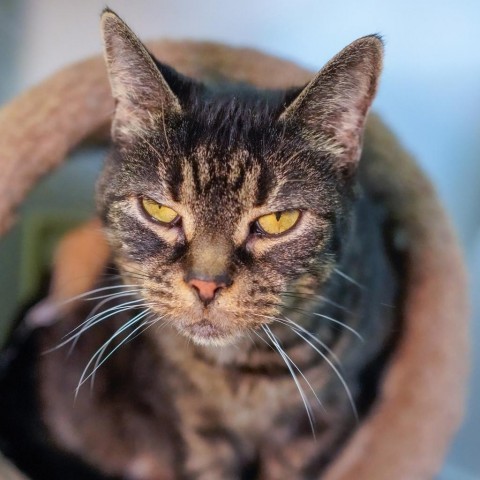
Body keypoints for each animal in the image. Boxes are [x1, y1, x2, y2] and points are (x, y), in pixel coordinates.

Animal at [22, 8, 400, 480]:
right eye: (158, 210)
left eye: (278, 220)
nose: (206, 284)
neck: (241, 372)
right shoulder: (192, 424)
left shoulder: (325, 418)